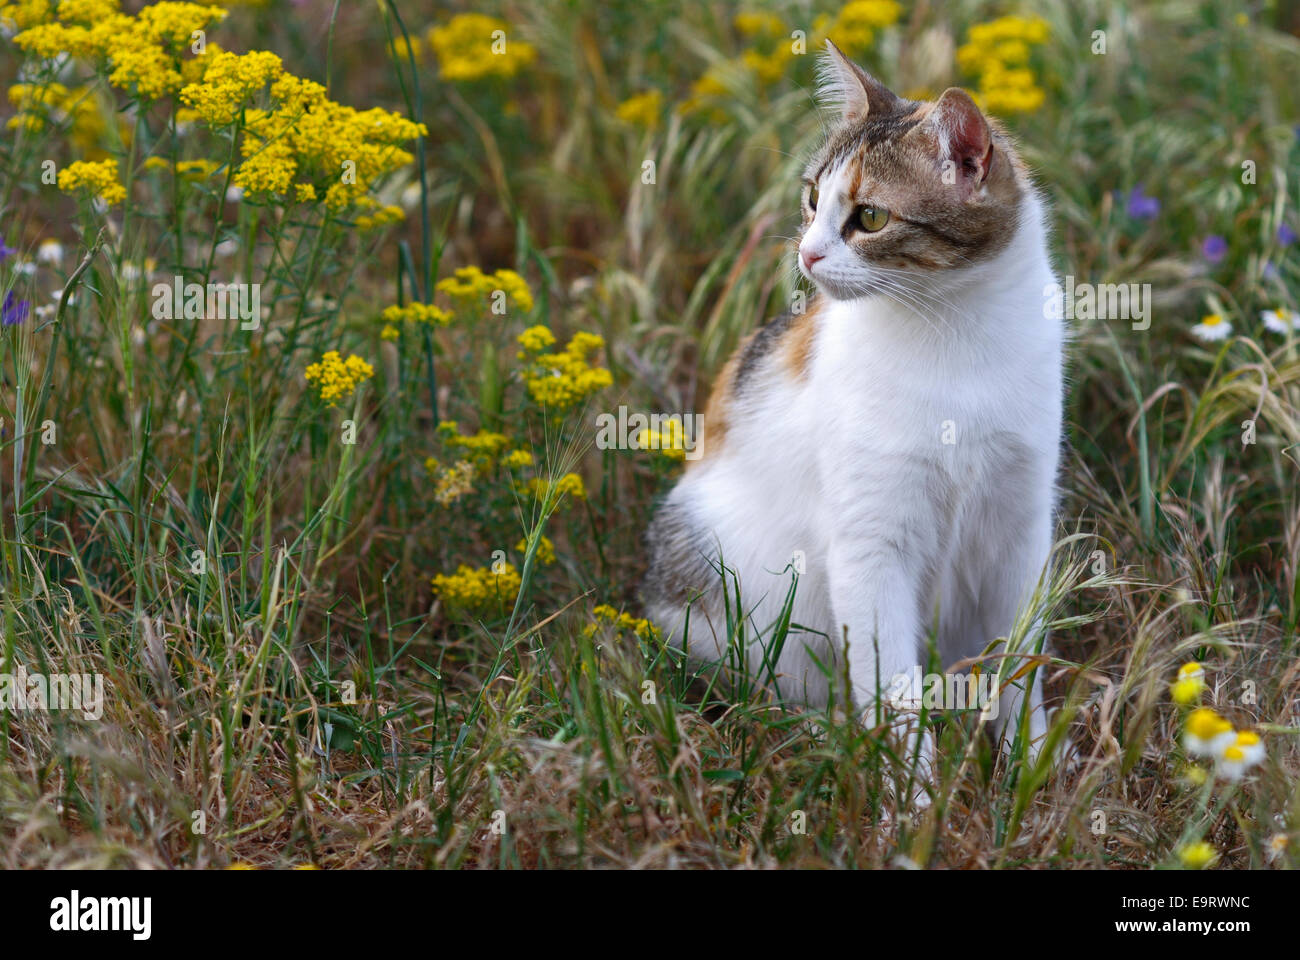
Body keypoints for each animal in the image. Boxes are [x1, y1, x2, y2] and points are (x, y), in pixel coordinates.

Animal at [644, 41, 1060, 759]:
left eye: (870, 217)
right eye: (813, 198)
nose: (807, 254)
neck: (954, 334)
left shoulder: (1021, 527)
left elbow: (1019, 663)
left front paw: (1031, 765)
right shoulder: (870, 544)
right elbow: (891, 687)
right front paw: (909, 785)